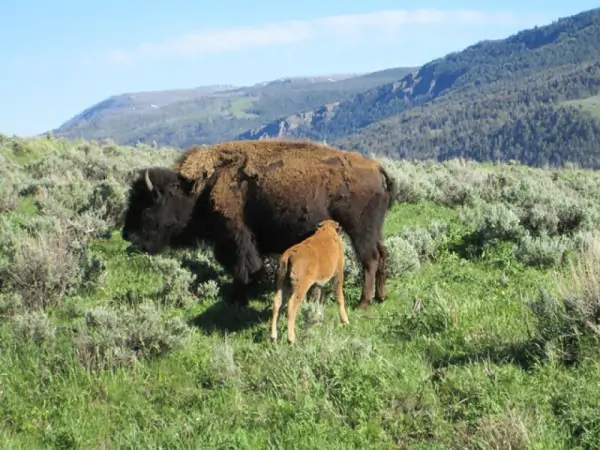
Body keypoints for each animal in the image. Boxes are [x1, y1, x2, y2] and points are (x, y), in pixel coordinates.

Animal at [122, 140, 398, 310]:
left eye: (145, 206)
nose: (127, 235)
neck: (199, 189)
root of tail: (376, 167)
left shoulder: (236, 239)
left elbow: (244, 268)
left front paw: (238, 298)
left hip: (359, 230)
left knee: (370, 259)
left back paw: (363, 302)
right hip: (374, 230)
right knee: (382, 254)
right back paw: (381, 296)